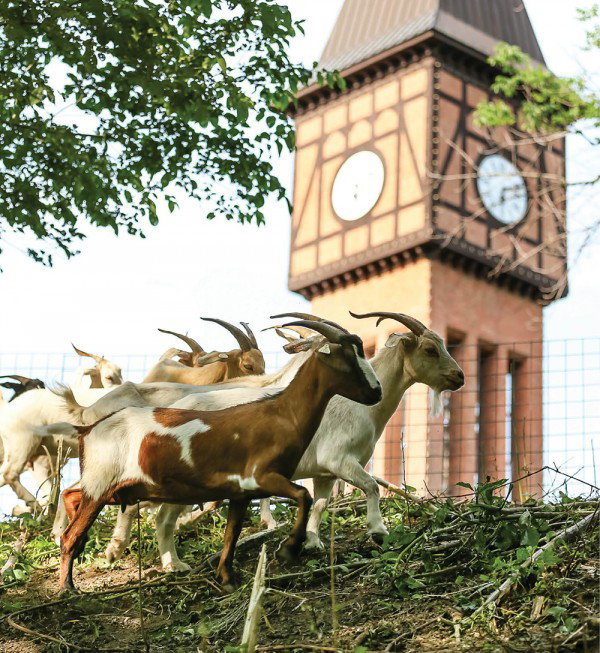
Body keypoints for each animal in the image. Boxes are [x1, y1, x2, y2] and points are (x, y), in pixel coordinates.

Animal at [57, 319, 382, 592]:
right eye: (346, 359)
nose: (376, 392)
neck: (281, 411)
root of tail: (89, 428)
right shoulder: (262, 476)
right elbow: (304, 495)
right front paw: (288, 549)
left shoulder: (241, 491)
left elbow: (231, 533)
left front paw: (225, 577)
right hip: (102, 484)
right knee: (71, 533)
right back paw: (68, 588)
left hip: (115, 488)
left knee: (72, 498)